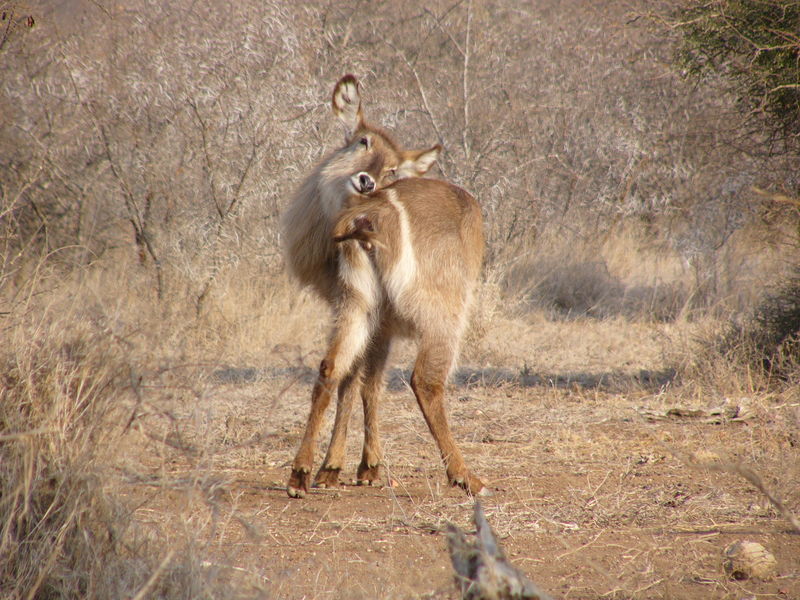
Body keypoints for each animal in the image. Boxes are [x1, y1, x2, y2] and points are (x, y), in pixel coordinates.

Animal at [282, 75, 488, 496]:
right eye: (362, 141)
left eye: (393, 166)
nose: (367, 179)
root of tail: (369, 215)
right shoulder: (387, 324)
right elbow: (369, 383)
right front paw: (362, 467)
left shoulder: (373, 319)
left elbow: (356, 380)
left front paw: (338, 469)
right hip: (442, 312)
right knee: (424, 380)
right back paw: (466, 476)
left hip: (358, 304)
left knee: (329, 367)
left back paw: (300, 475)